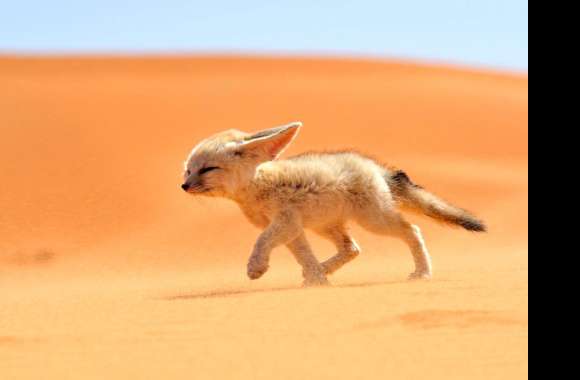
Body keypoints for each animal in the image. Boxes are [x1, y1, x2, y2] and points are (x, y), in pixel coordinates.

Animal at [181, 123, 484, 286]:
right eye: (188, 170)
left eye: (207, 169)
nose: (183, 186)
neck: (257, 187)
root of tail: (374, 166)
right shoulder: (293, 228)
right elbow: (304, 256)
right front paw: (318, 280)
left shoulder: (284, 222)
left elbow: (261, 241)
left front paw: (256, 267)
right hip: (326, 226)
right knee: (352, 248)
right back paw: (322, 271)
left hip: (374, 221)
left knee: (412, 230)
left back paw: (422, 272)